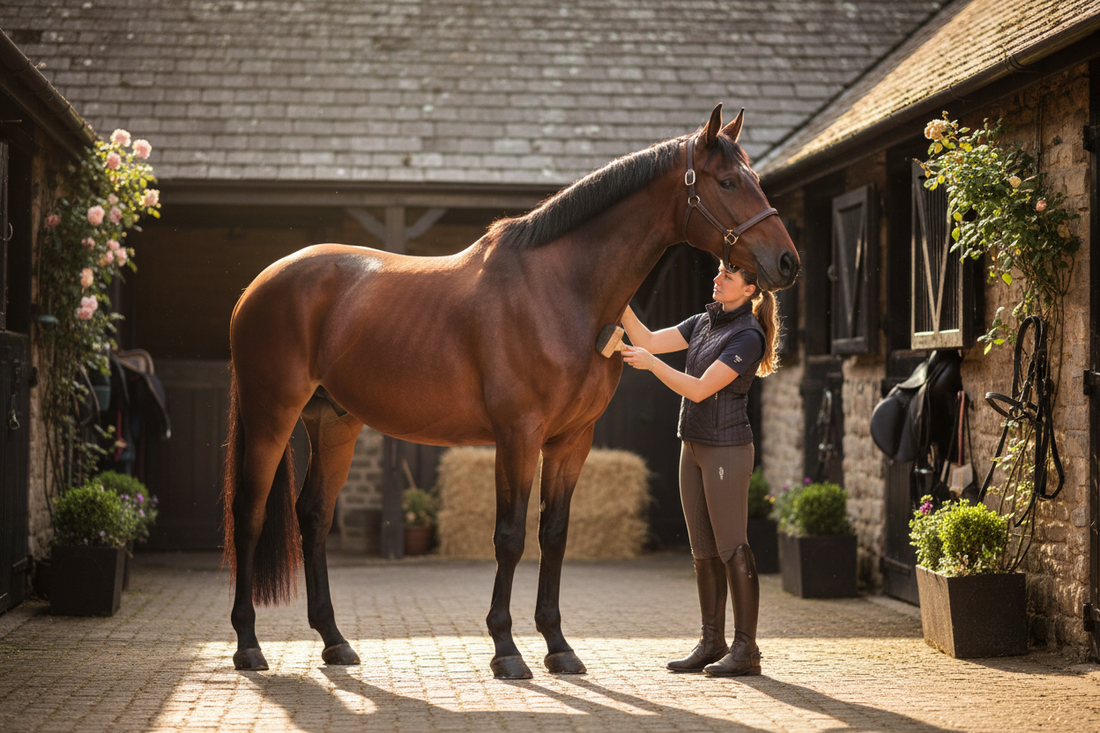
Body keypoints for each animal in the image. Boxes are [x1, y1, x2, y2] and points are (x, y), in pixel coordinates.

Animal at [221, 103, 800, 679]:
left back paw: (335, 641)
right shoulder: (518, 435)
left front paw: (558, 646)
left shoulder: (572, 441)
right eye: (728, 182)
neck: (561, 291)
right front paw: (506, 649)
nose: (787, 262)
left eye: (756, 178)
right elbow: (510, 536)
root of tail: (260, 284)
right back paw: (248, 645)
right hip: (272, 416)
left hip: (334, 422)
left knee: (314, 515)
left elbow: (554, 535)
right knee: (249, 513)